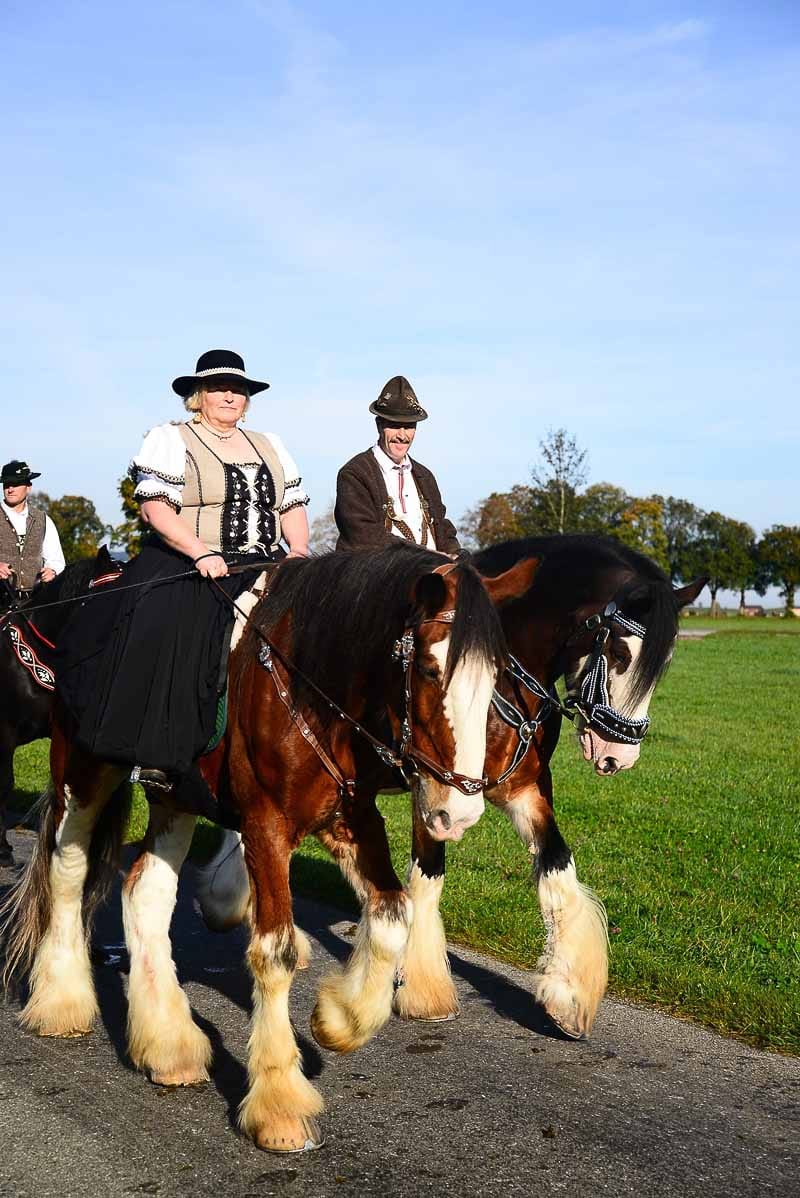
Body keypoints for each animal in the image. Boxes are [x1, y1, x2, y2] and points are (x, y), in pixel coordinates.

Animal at [392, 534, 705, 1038]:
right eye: (621, 656)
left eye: (665, 665)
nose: (619, 756)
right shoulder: (433, 787)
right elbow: (428, 873)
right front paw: (422, 989)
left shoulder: (528, 791)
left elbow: (558, 866)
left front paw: (567, 994)